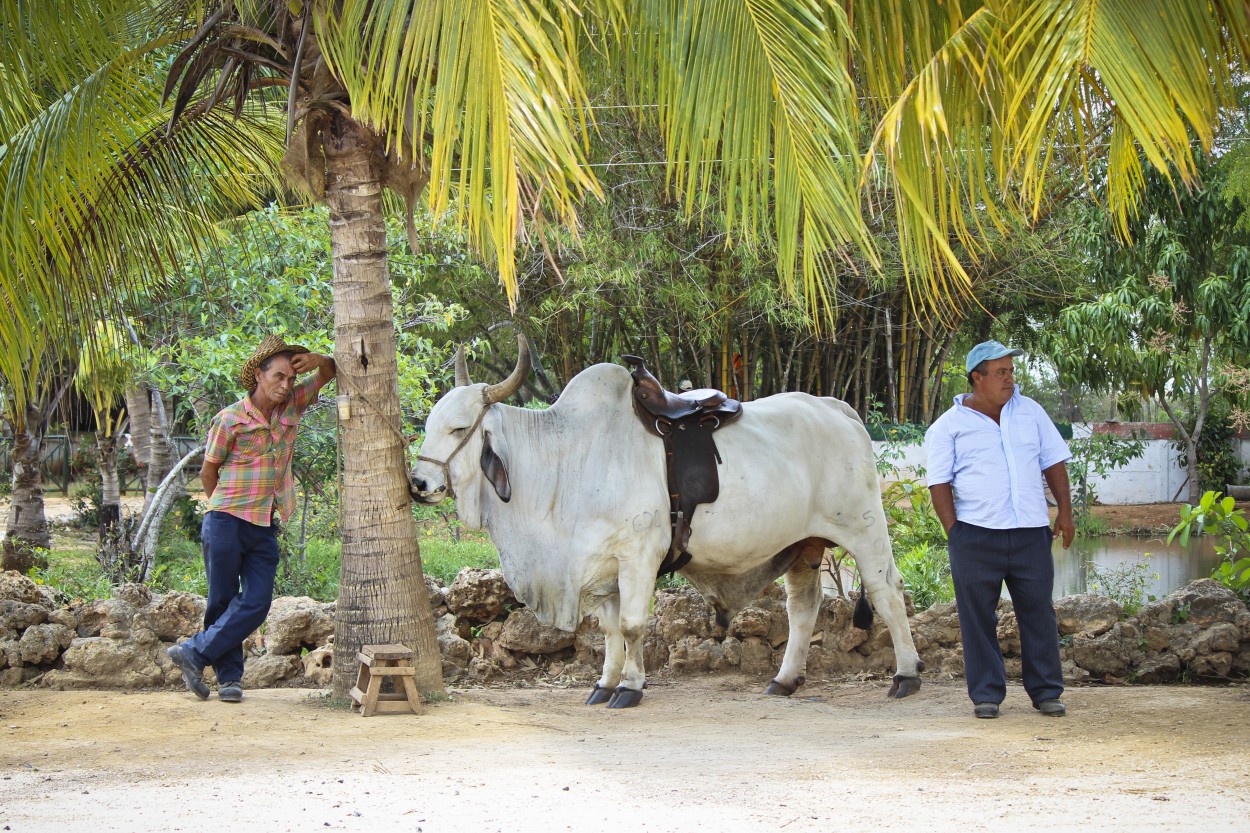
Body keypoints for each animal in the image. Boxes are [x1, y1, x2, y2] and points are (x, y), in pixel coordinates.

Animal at [415, 335, 925, 705]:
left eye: (458, 429)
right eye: (429, 424)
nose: (418, 482)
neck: (568, 457)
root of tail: (837, 408)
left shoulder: (639, 556)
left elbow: (633, 625)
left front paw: (629, 687)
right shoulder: (603, 565)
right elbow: (609, 631)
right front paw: (603, 685)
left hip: (864, 528)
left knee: (887, 591)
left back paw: (906, 675)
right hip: (804, 546)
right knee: (803, 608)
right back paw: (784, 679)